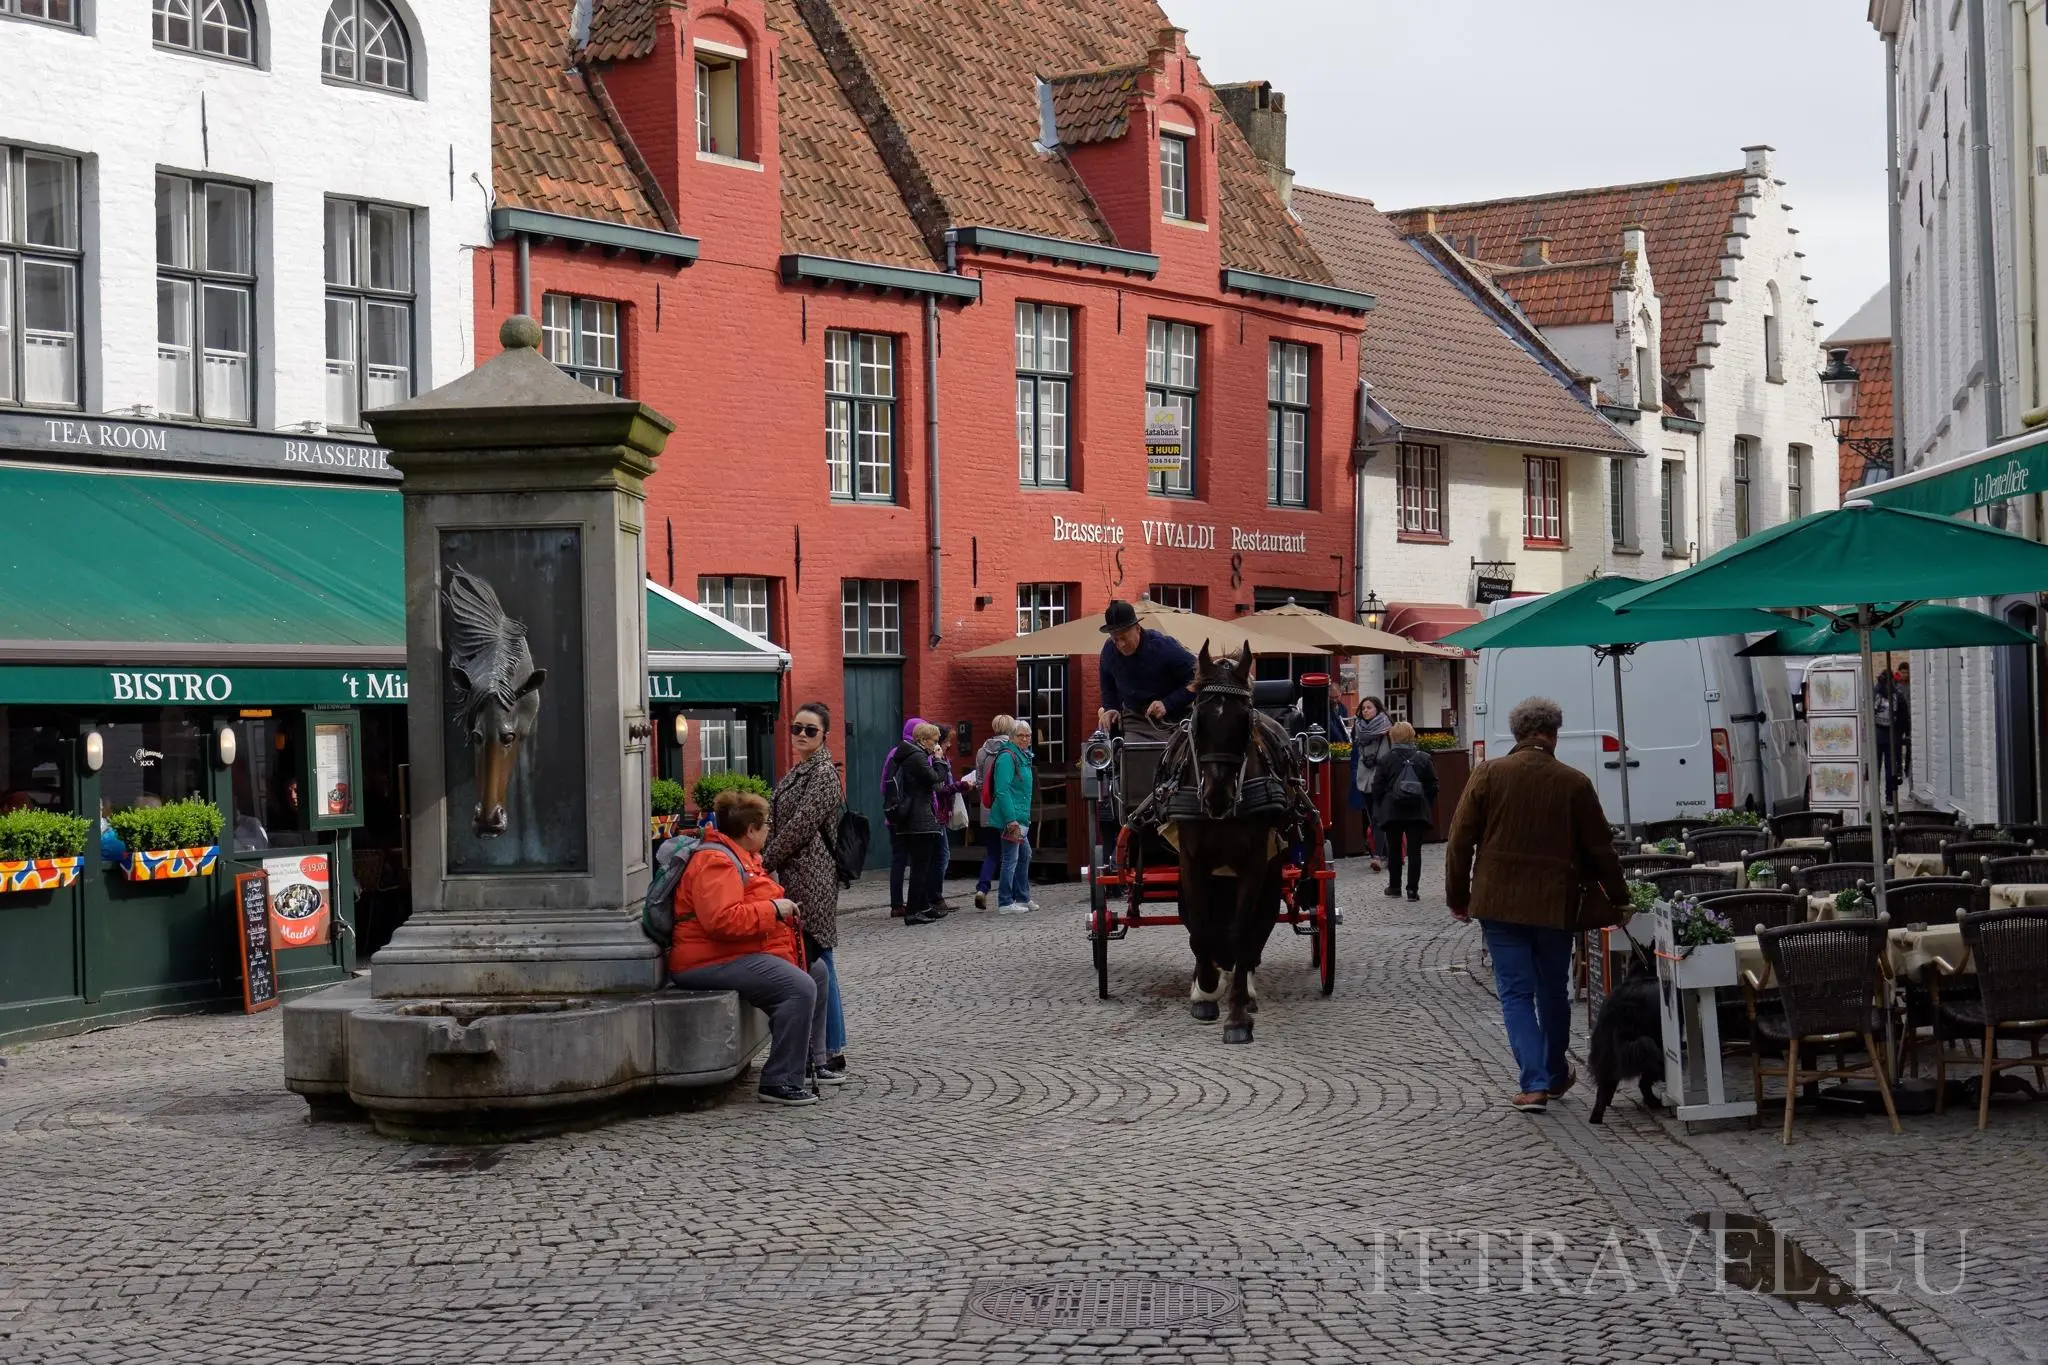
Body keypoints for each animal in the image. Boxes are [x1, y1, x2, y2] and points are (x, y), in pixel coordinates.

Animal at [1171, 642, 1294, 1047]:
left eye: (1244, 720)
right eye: (1198, 720)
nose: (1218, 797)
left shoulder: (1255, 863)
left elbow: (1240, 932)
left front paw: (1238, 1015)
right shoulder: (1191, 862)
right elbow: (1201, 924)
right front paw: (1206, 990)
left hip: (1272, 869)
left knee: (1258, 928)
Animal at [1581, 945, 1662, 1129]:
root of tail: (1623, 1006)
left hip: (1606, 1050)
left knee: (1605, 1084)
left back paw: (1597, 1116)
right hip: (1651, 1045)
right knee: (1645, 1080)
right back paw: (1653, 1102)